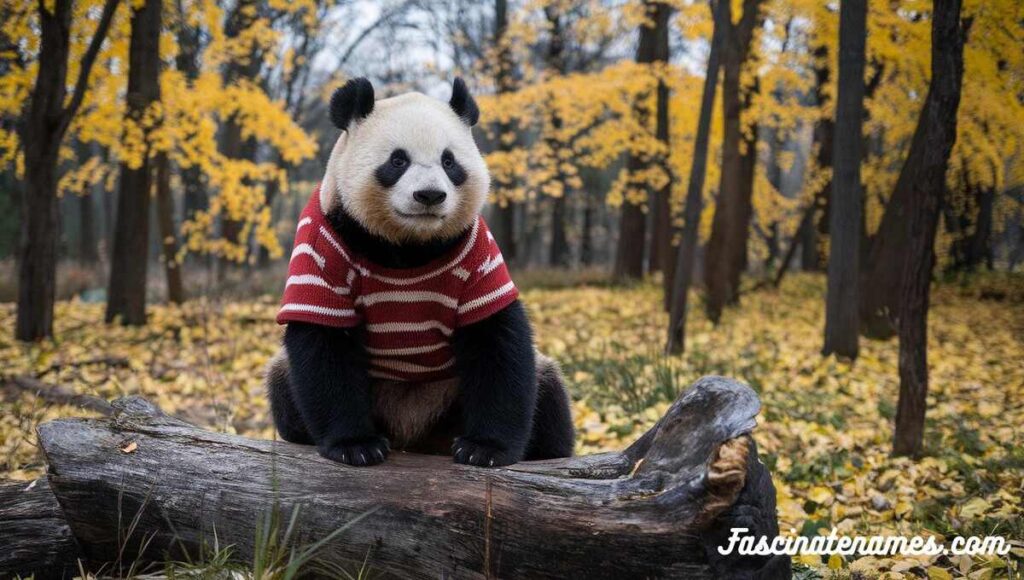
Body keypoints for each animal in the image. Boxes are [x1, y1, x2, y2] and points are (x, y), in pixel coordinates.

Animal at [264, 78, 577, 469]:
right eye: (398, 160)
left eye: (449, 161)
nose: (429, 195)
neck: (408, 245)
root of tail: (415, 435)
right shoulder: (325, 244)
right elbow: (323, 342)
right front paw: (356, 445)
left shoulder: (477, 257)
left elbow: (497, 339)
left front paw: (485, 448)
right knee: (282, 382)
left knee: (547, 389)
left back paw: (546, 450)